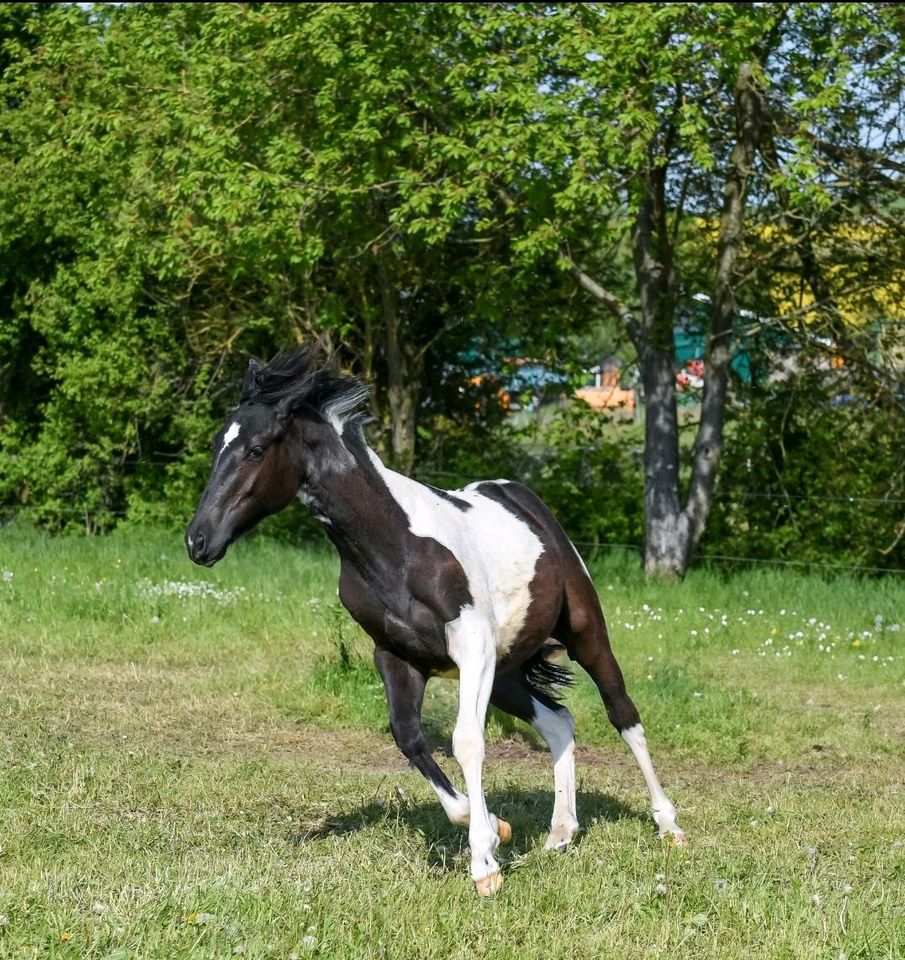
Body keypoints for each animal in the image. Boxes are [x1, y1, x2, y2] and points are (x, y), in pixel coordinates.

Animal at [189, 344, 684, 892]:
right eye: (216, 446)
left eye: (256, 450)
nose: (198, 541)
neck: (395, 547)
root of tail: (527, 502)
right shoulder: (397, 656)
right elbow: (408, 739)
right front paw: (495, 828)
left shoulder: (471, 645)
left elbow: (466, 741)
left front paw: (484, 864)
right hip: (507, 669)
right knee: (559, 722)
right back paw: (560, 833)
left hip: (582, 634)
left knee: (624, 716)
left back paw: (669, 826)